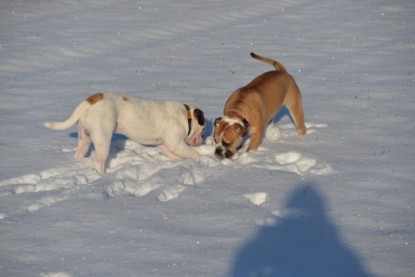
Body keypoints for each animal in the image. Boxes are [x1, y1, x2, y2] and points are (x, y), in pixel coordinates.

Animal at [44, 93, 206, 175]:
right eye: (203, 129)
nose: (202, 139)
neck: (186, 115)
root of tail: (91, 100)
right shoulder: (176, 143)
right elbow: (191, 153)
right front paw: (201, 158)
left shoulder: (164, 144)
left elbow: (173, 154)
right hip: (102, 138)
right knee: (98, 159)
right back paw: (103, 176)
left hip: (84, 136)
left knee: (80, 152)